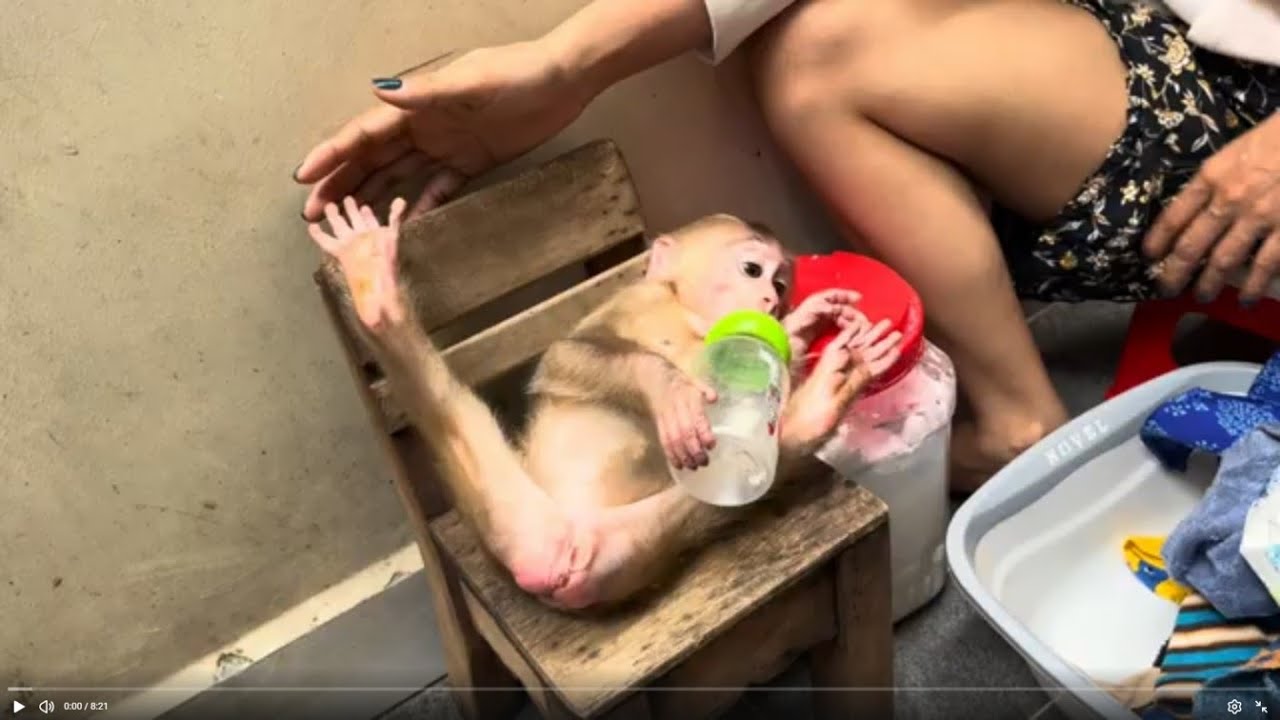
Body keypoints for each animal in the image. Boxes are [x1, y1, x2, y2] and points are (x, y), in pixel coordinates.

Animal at [309, 196, 903, 611]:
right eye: (753, 271)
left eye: (780, 285)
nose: (769, 301)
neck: (694, 322)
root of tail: (557, 555)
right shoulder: (633, 301)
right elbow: (567, 356)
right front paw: (669, 390)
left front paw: (800, 330)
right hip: (515, 519)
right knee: (449, 408)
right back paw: (377, 294)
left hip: (617, 552)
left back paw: (813, 411)